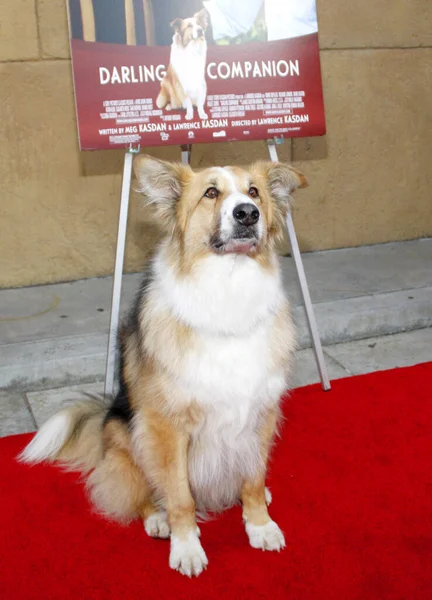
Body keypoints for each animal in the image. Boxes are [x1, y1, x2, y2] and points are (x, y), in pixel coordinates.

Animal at [17, 155, 308, 576]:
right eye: (210, 192)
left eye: (254, 192)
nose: (247, 213)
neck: (229, 287)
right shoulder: (167, 427)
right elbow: (180, 495)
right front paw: (186, 546)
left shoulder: (260, 413)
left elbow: (252, 479)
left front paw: (259, 524)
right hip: (128, 437)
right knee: (133, 487)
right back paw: (156, 517)